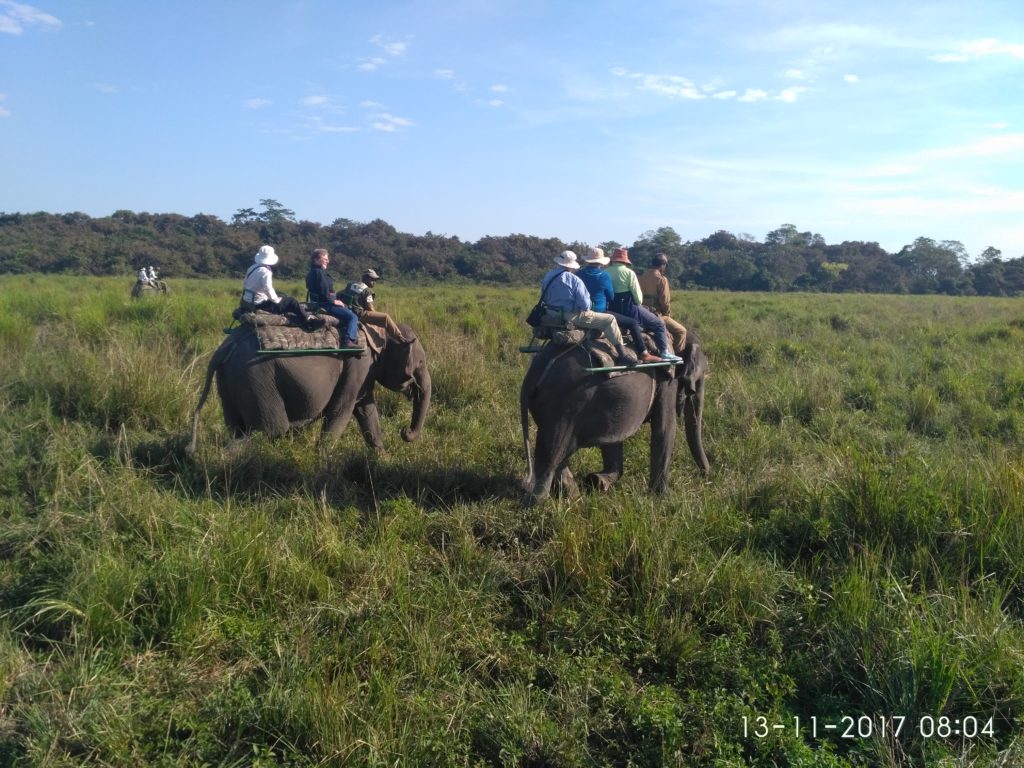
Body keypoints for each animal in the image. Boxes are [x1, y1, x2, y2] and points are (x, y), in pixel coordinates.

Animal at [189, 319, 432, 454]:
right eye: (420, 363)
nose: (404, 432)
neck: (376, 331)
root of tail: (224, 347)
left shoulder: (364, 371)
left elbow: (366, 409)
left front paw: (381, 458)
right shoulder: (359, 363)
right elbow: (341, 410)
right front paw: (323, 461)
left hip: (231, 380)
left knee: (237, 428)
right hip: (255, 377)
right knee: (270, 429)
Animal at [516, 331, 708, 505]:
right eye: (700, 379)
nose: (705, 474)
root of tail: (534, 373)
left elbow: (613, 440)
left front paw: (597, 482)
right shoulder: (667, 381)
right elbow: (665, 429)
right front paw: (663, 499)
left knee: (559, 455)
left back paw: (574, 497)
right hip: (563, 406)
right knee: (551, 454)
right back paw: (538, 505)